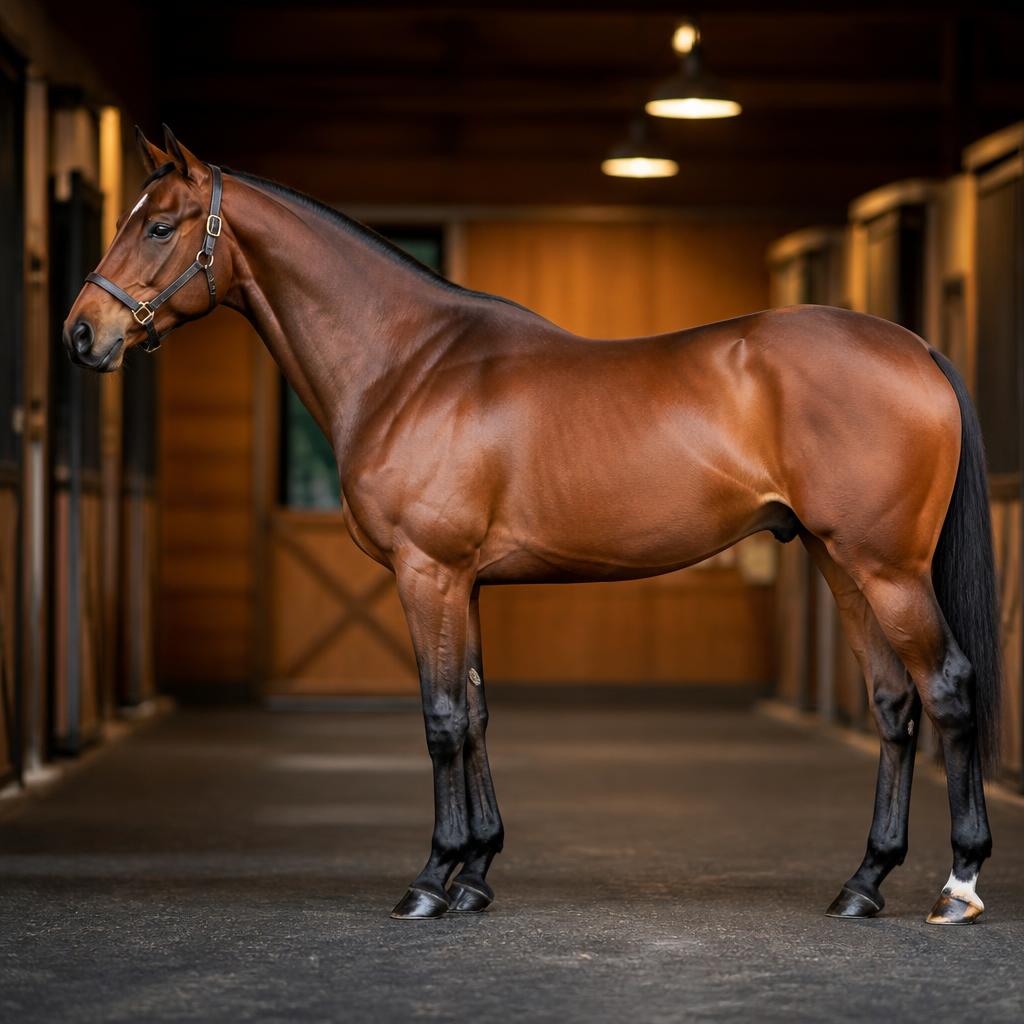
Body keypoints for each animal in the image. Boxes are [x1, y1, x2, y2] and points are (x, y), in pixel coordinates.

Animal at [64, 126, 1000, 926]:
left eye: (159, 226)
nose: (81, 333)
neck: (409, 365)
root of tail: (915, 349)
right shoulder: (462, 581)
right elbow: (476, 714)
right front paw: (476, 873)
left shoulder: (428, 572)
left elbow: (442, 718)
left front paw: (431, 881)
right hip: (843, 564)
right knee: (893, 704)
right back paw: (863, 883)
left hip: (888, 569)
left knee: (949, 689)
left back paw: (957, 885)